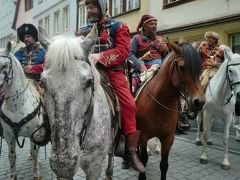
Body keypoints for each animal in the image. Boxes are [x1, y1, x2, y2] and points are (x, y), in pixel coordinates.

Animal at [0, 42, 46, 179]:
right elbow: (11, 156)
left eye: (4, 65)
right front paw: (12, 176)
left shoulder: (35, 133)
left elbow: (35, 152)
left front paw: (36, 174)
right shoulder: (9, 135)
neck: (17, 105)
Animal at [136, 41, 205, 179]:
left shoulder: (168, 137)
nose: (199, 101)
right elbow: (143, 159)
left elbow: (164, 164)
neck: (159, 104)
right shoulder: (143, 136)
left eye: (200, 68)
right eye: (182, 67)